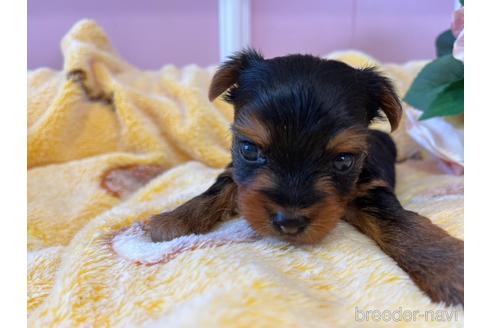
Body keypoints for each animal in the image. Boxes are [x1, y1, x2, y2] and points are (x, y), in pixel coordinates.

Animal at [144, 50, 464, 306]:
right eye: (249, 149)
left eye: (343, 160)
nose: (289, 222)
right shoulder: (235, 170)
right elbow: (219, 187)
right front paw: (174, 219)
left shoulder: (371, 187)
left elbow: (399, 222)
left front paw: (449, 267)